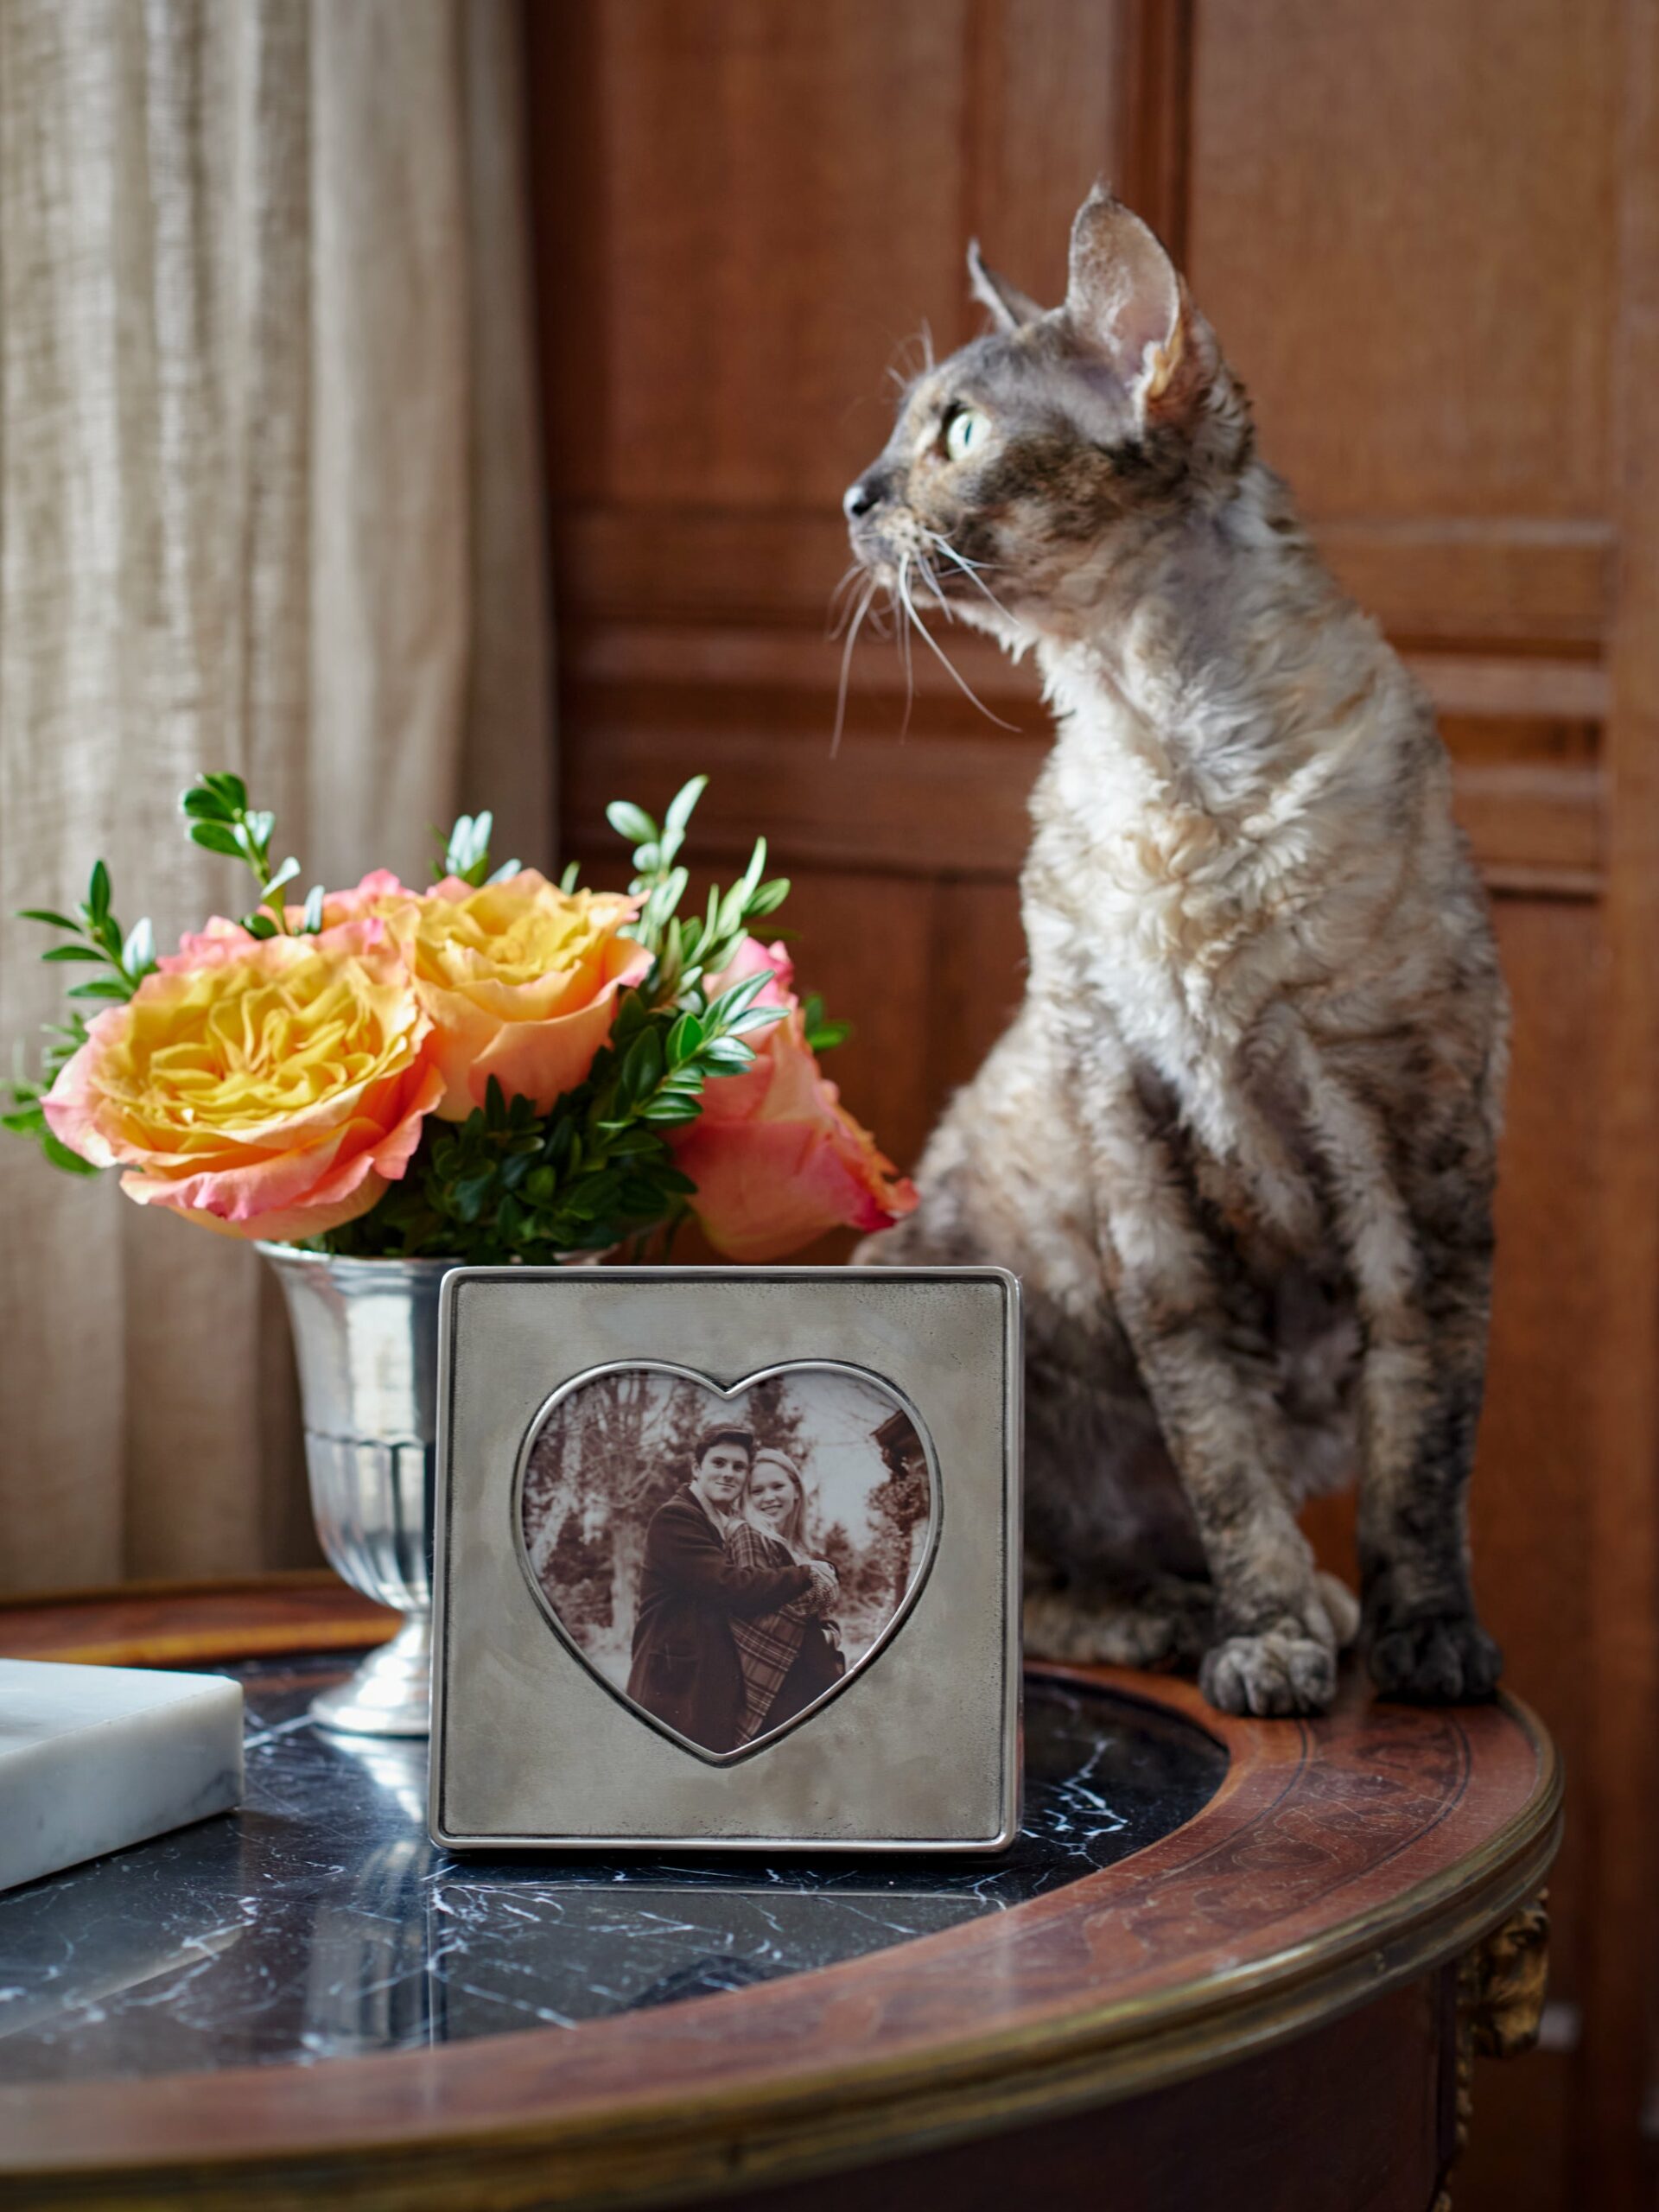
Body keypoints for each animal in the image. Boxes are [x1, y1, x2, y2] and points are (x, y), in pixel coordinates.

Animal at [849, 186, 1513, 1707]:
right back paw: (1175, 1615)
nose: (854, 496)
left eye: (955, 432)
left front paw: (1425, 1638)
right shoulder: (1130, 1122)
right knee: (998, 1580)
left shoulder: (1412, 1137)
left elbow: (1421, 1444)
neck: (1160, 746)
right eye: (908, 430)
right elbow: (1218, 1442)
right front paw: (1264, 1637)